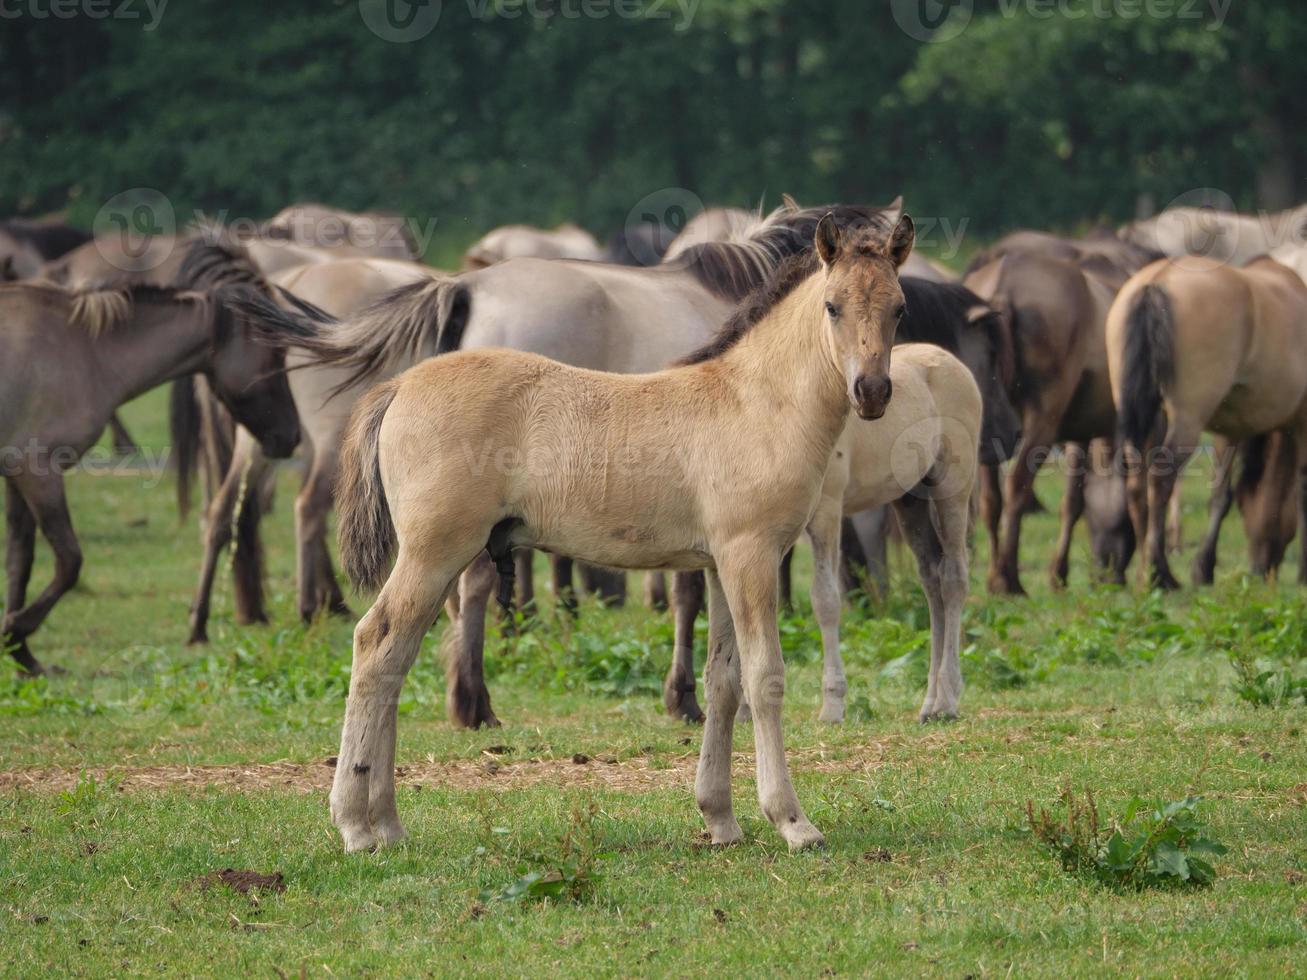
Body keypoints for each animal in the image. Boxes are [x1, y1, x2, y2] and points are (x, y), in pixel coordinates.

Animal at [0, 277, 299, 674]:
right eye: (275, 358)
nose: (293, 436)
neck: (84, 351)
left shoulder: (18, 476)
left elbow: (20, 563)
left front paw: (23, 655)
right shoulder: (39, 473)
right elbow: (69, 561)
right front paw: (15, 629)